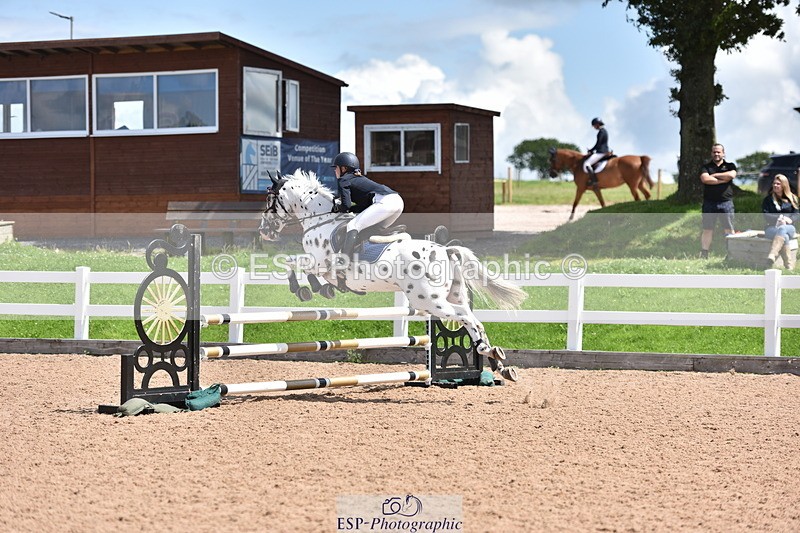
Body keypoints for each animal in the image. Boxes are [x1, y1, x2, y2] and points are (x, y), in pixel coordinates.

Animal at [258, 169, 527, 381]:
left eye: (270, 198)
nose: (264, 232)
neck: (320, 220)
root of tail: (445, 250)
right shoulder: (319, 264)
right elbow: (301, 267)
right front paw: (321, 288)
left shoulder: (320, 262)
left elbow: (292, 263)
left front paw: (304, 289)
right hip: (453, 295)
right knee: (473, 320)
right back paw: (497, 361)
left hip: (430, 302)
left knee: (466, 318)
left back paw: (488, 353)